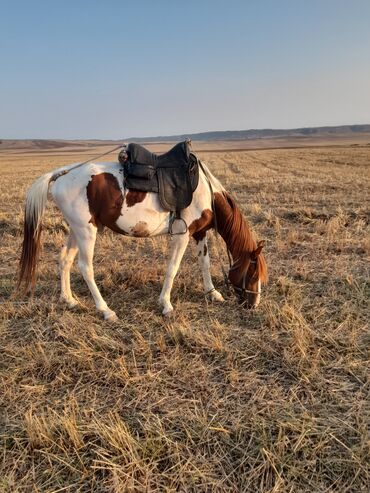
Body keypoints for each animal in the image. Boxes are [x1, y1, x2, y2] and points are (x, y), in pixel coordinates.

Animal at [17, 156, 268, 320]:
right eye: (253, 273)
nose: (254, 304)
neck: (205, 192)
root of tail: (62, 174)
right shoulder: (183, 234)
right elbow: (173, 268)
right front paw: (166, 305)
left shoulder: (200, 232)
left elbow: (204, 263)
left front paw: (212, 293)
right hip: (86, 231)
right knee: (85, 267)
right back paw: (105, 310)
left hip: (76, 230)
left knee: (65, 260)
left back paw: (69, 300)